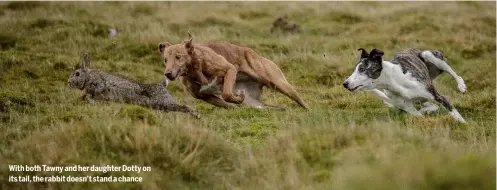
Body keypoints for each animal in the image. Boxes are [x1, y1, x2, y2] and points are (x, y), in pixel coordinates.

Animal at [159, 32, 308, 110]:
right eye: (165, 60)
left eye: (178, 57)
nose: (168, 74)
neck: (195, 69)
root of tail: (255, 54)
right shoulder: (206, 97)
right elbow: (229, 103)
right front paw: (237, 101)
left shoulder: (229, 69)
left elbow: (226, 94)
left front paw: (236, 98)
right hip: (256, 103)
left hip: (280, 84)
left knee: (301, 101)